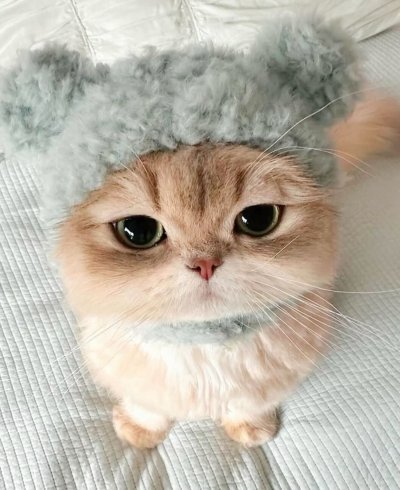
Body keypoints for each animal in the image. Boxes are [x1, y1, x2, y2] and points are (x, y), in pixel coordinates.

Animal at [54, 94, 400, 448]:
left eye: (259, 218)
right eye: (138, 231)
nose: (205, 264)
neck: (204, 345)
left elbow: (249, 406)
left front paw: (252, 429)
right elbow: (147, 408)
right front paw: (140, 430)